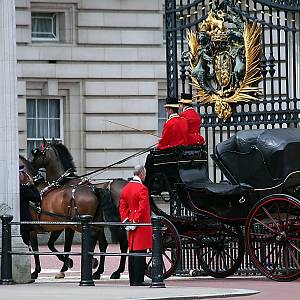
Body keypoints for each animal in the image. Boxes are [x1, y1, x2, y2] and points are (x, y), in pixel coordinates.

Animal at [29, 139, 128, 280]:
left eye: (37, 152)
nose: (31, 164)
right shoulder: (68, 225)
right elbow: (65, 246)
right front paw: (66, 266)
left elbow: (59, 246)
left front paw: (63, 266)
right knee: (109, 243)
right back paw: (103, 271)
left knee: (120, 243)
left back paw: (111, 270)